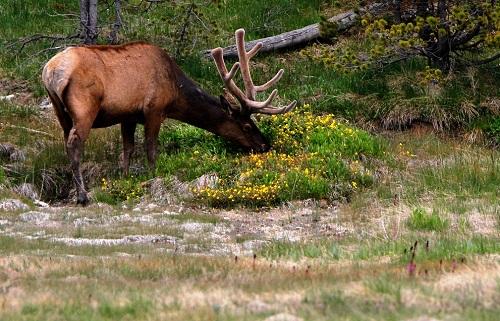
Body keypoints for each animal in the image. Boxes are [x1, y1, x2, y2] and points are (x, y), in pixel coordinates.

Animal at [43, 28, 296, 204]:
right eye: (246, 125)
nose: (265, 145)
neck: (175, 90)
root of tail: (51, 72)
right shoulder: (154, 109)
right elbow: (151, 148)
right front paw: (152, 177)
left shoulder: (128, 115)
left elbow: (127, 149)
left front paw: (125, 180)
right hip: (84, 106)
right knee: (75, 143)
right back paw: (82, 196)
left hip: (59, 110)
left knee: (66, 141)